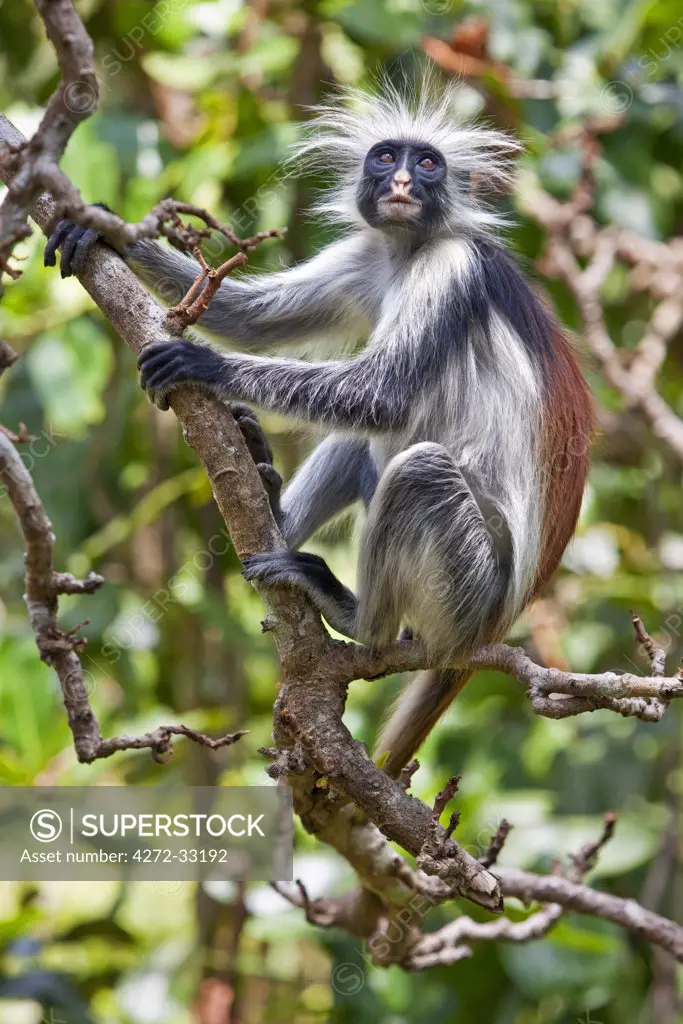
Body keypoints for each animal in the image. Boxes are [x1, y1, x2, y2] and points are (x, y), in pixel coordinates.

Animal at [45, 79, 593, 774]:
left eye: (429, 164)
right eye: (386, 157)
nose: (403, 182)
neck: (408, 251)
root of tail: (501, 622)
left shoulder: (452, 267)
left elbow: (380, 397)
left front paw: (206, 364)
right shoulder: (368, 254)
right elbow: (248, 316)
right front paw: (102, 227)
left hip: (471, 587)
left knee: (416, 466)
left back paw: (356, 619)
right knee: (360, 446)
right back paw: (267, 498)